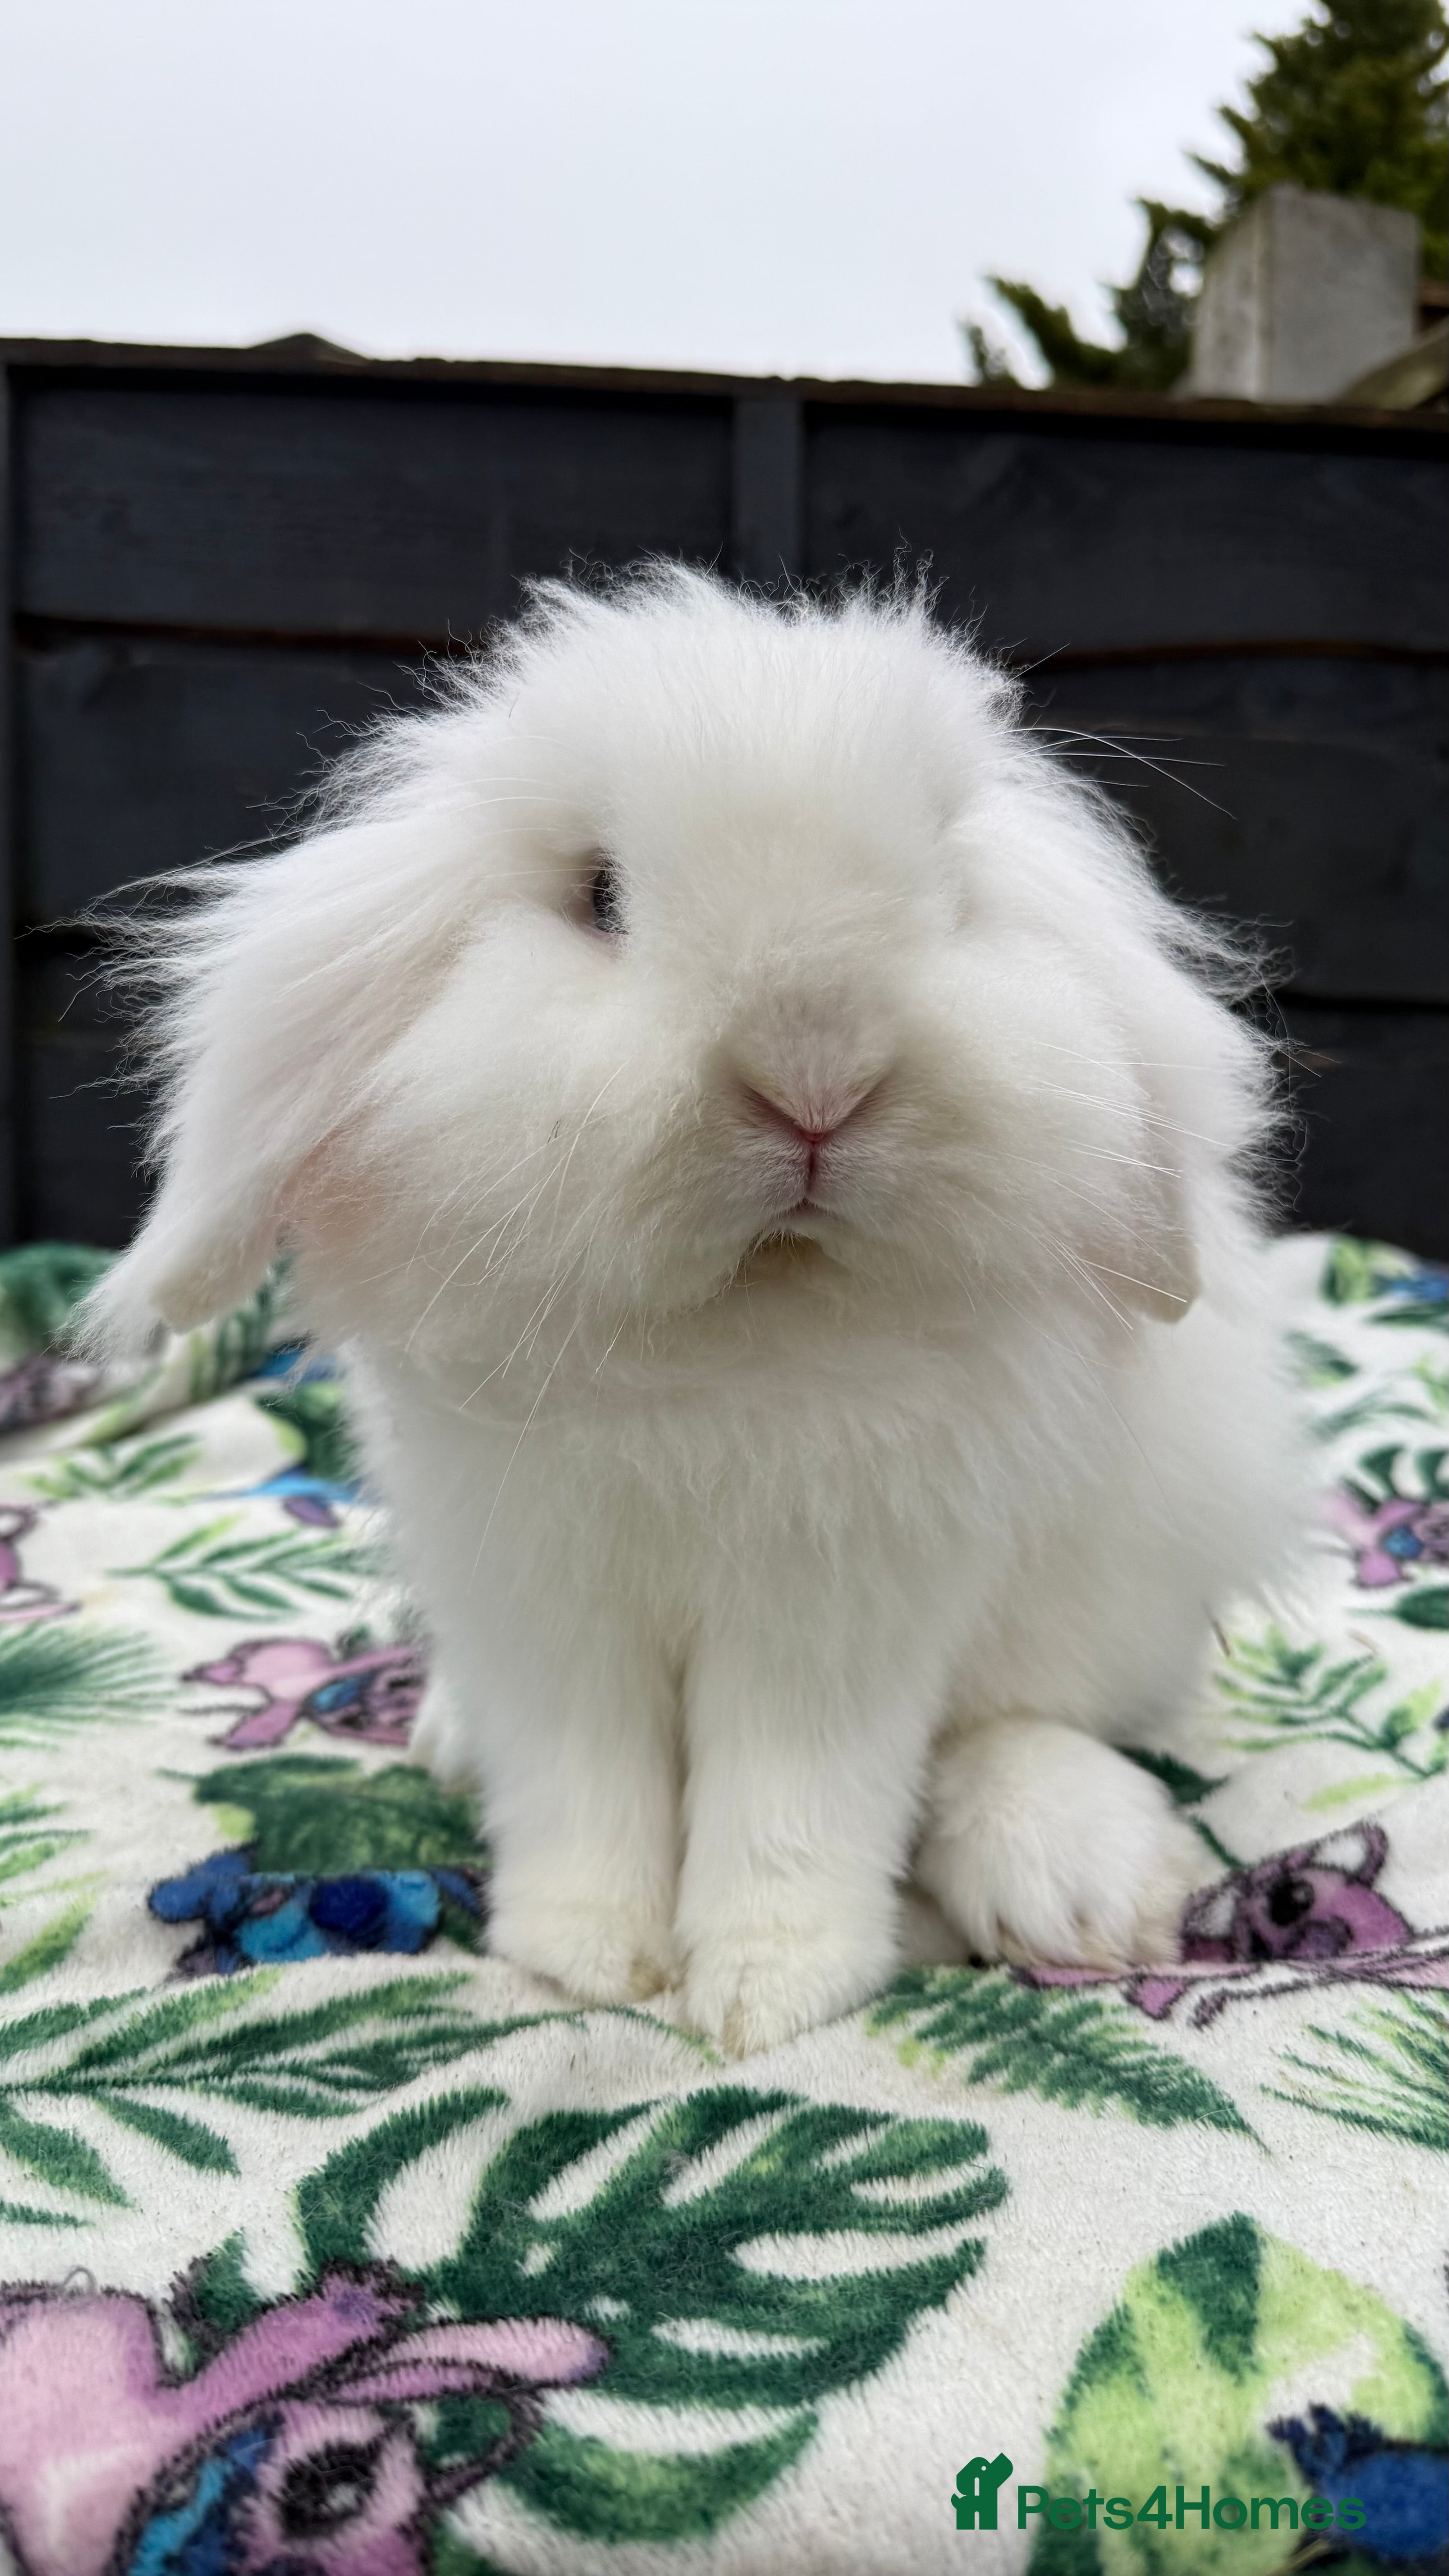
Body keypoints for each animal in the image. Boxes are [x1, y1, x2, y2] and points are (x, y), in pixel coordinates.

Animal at [85, 567, 1305, 2054]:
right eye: (601, 895)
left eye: (949, 895)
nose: (817, 1074)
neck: (738, 1335)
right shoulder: (544, 1597)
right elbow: (584, 1784)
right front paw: (586, 1958)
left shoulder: (835, 1611)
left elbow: (794, 1807)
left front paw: (766, 1995)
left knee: (1016, 1721)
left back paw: (1083, 1887)